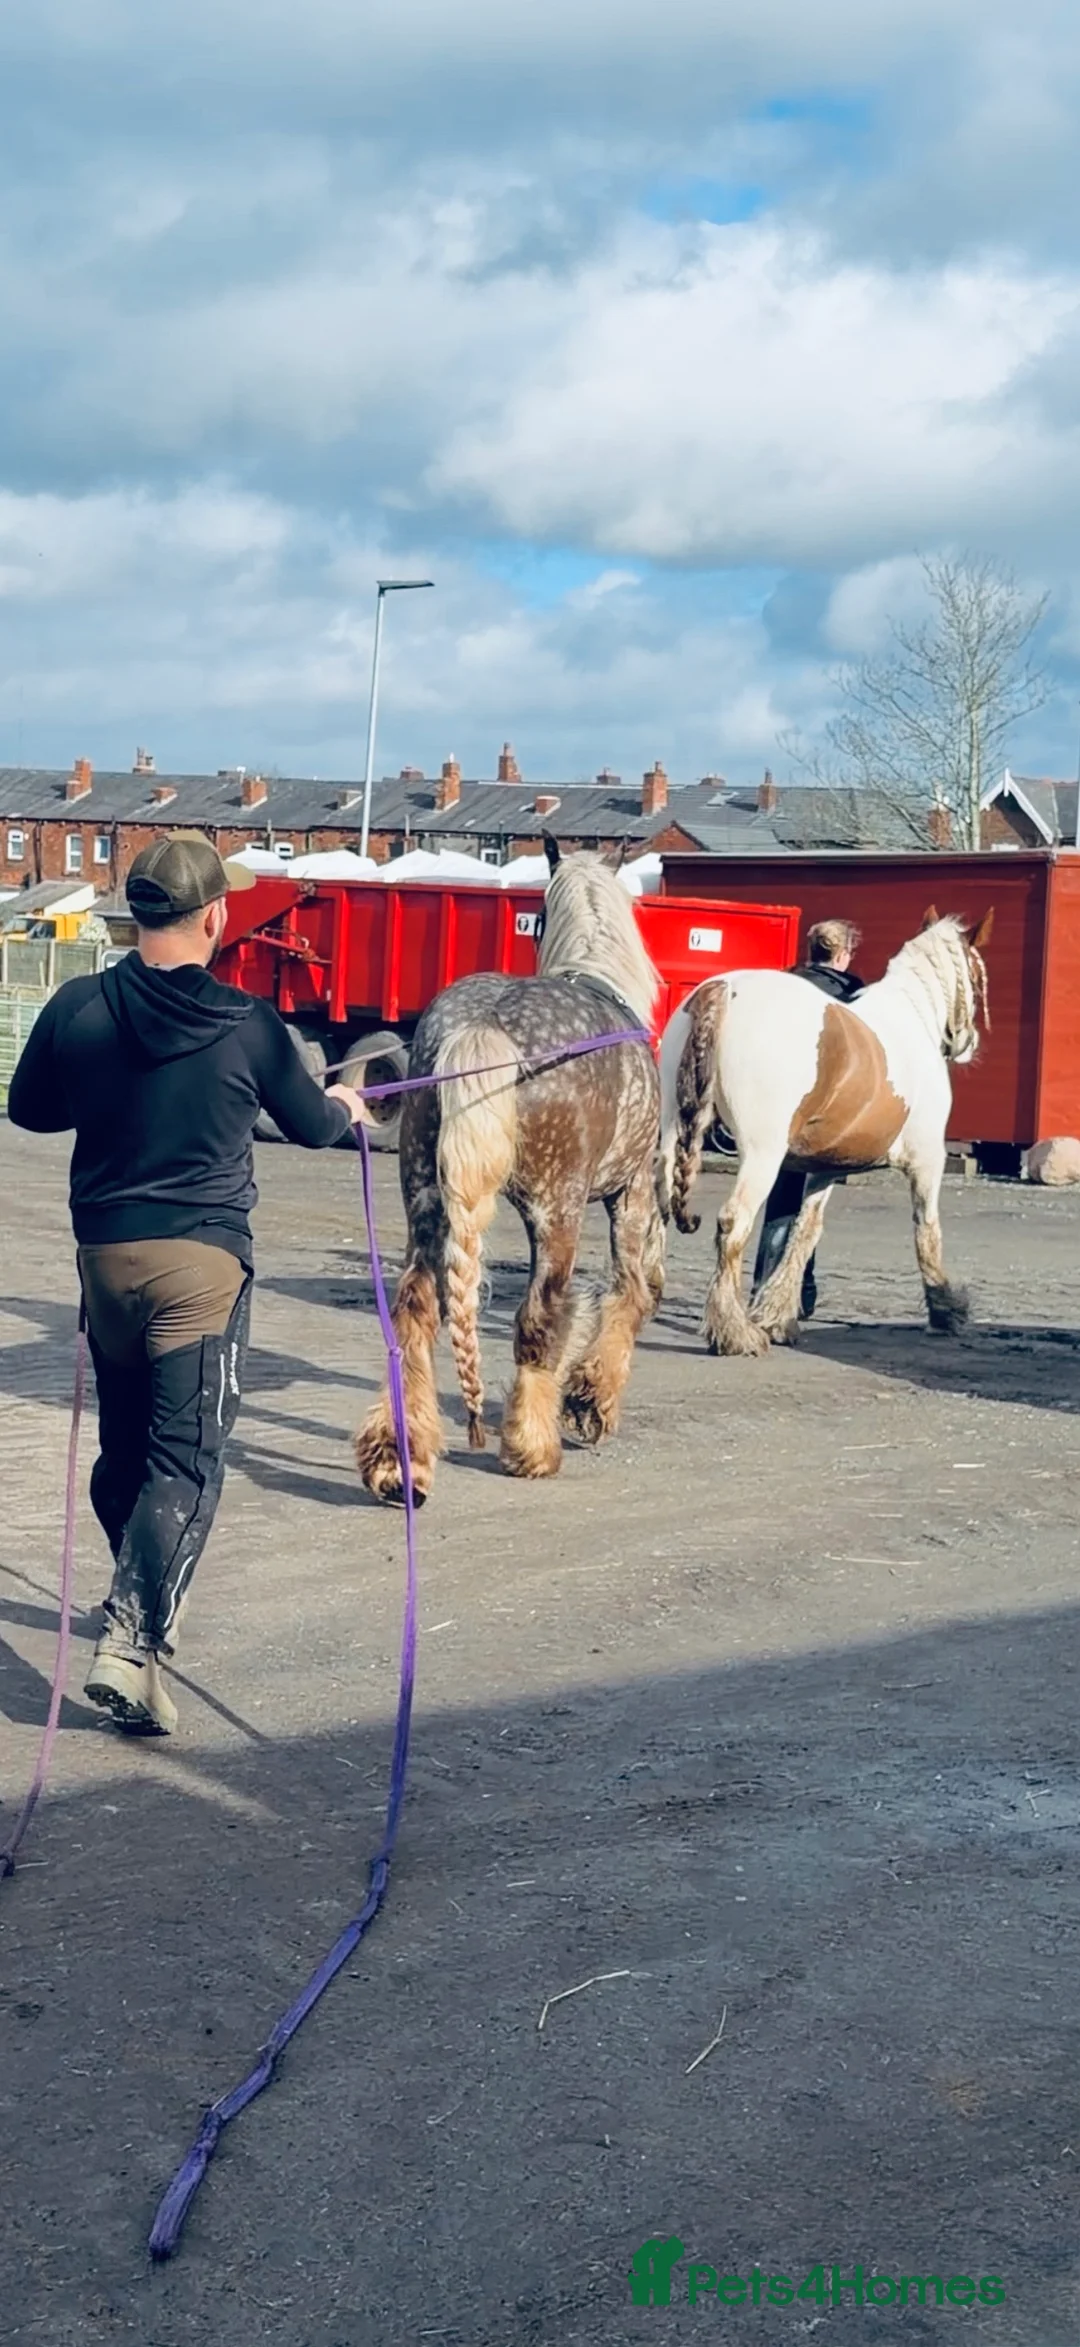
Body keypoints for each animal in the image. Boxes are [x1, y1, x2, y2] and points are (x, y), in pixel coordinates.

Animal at [355, 840, 664, 1502]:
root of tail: (484, 1025)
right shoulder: (630, 1194)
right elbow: (630, 1292)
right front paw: (590, 1398)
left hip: (426, 1198)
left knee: (417, 1309)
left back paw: (399, 1457)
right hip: (558, 1208)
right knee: (539, 1314)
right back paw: (532, 1447)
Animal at [658, 907, 994, 1356]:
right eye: (977, 973)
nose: (967, 1041)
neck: (913, 1015)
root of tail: (722, 990)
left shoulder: (825, 1168)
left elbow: (804, 1230)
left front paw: (777, 1316)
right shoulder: (928, 1160)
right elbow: (927, 1230)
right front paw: (946, 1311)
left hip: (671, 1133)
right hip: (761, 1156)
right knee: (733, 1223)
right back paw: (734, 1333)